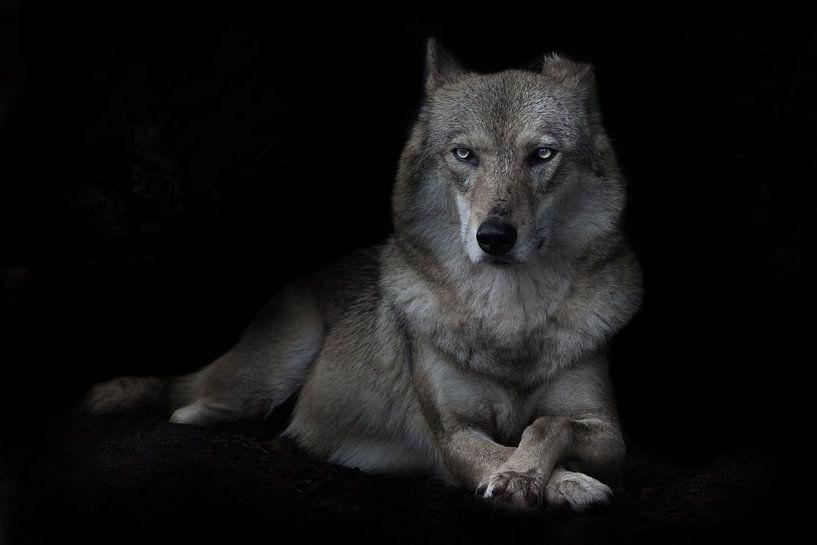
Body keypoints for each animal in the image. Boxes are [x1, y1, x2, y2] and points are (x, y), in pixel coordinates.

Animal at [87, 39, 642, 511]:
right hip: (270, 372)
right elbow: (503, 449)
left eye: (542, 154)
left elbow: (547, 424)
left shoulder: (608, 431)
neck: (510, 317)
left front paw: (545, 478)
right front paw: (538, 479)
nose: (495, 237)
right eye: (464, 154)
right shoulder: (453, 436)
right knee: (187, 409)